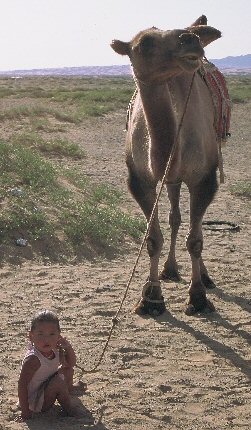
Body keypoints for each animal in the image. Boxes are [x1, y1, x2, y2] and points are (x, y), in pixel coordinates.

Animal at [111, 15, 228, 316]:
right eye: (144, 43)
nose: (190, 39)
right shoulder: (140, 181)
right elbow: (153, 239)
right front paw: (151, 297)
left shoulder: (204, 179)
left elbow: (196, 240)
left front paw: (197, 297)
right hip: (172, 180)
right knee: (174, 217)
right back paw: (170, 269)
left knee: (192, 227)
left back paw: (204, 277)